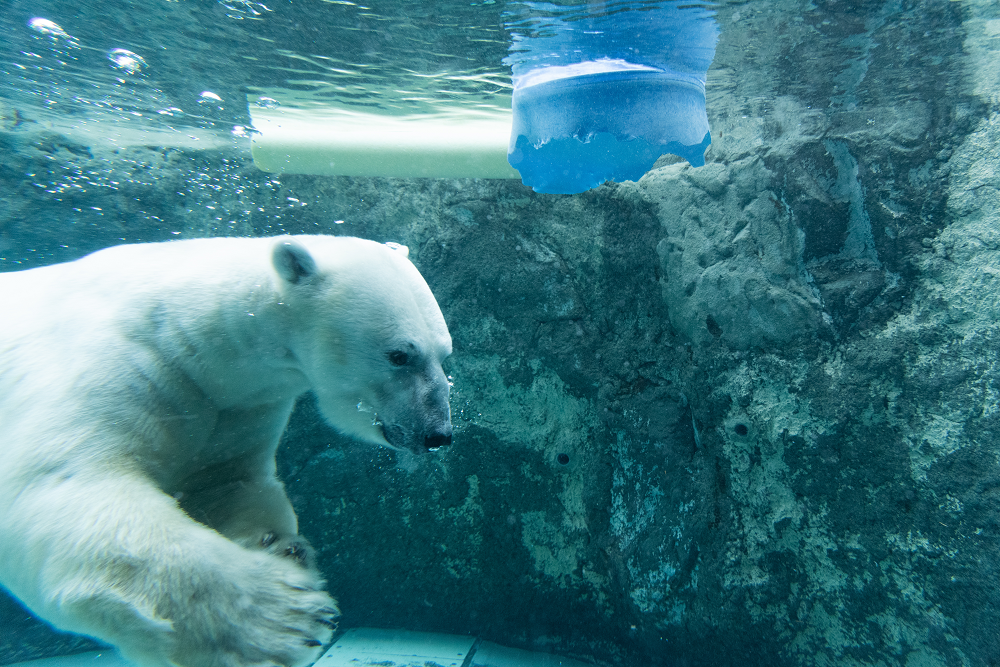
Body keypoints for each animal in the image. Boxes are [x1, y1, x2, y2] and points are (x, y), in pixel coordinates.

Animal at [0, 237, 454, 667]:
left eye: (444, 354)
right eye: (399, 355)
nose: (438, 433)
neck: (183, 332)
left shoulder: (236, 405)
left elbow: (227, 482)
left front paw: (282, 547)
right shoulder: (122, 365)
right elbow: (71, 484)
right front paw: (286, 620)